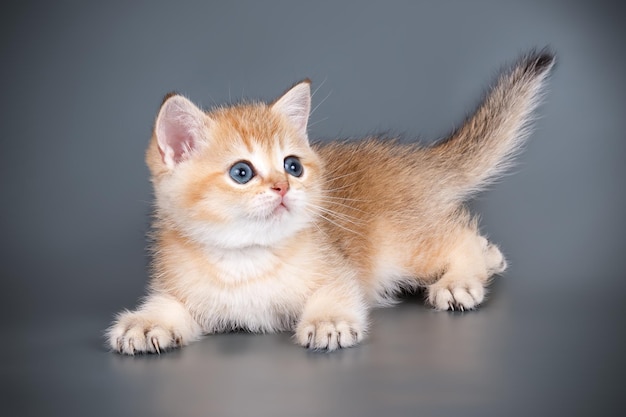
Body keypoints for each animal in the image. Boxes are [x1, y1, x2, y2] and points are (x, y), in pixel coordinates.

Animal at [106, 50, 552, 352]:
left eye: (292, 165)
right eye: (242, 172)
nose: (283, 187)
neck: (246, 259)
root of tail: (413, 160)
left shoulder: (339, 272)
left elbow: (337, 293)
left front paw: (328, 321)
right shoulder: (182, 288)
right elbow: (169, 306)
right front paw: (146, 324)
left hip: (400, 245)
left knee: (458, 239)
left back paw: (461, 280)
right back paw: (491, 256)